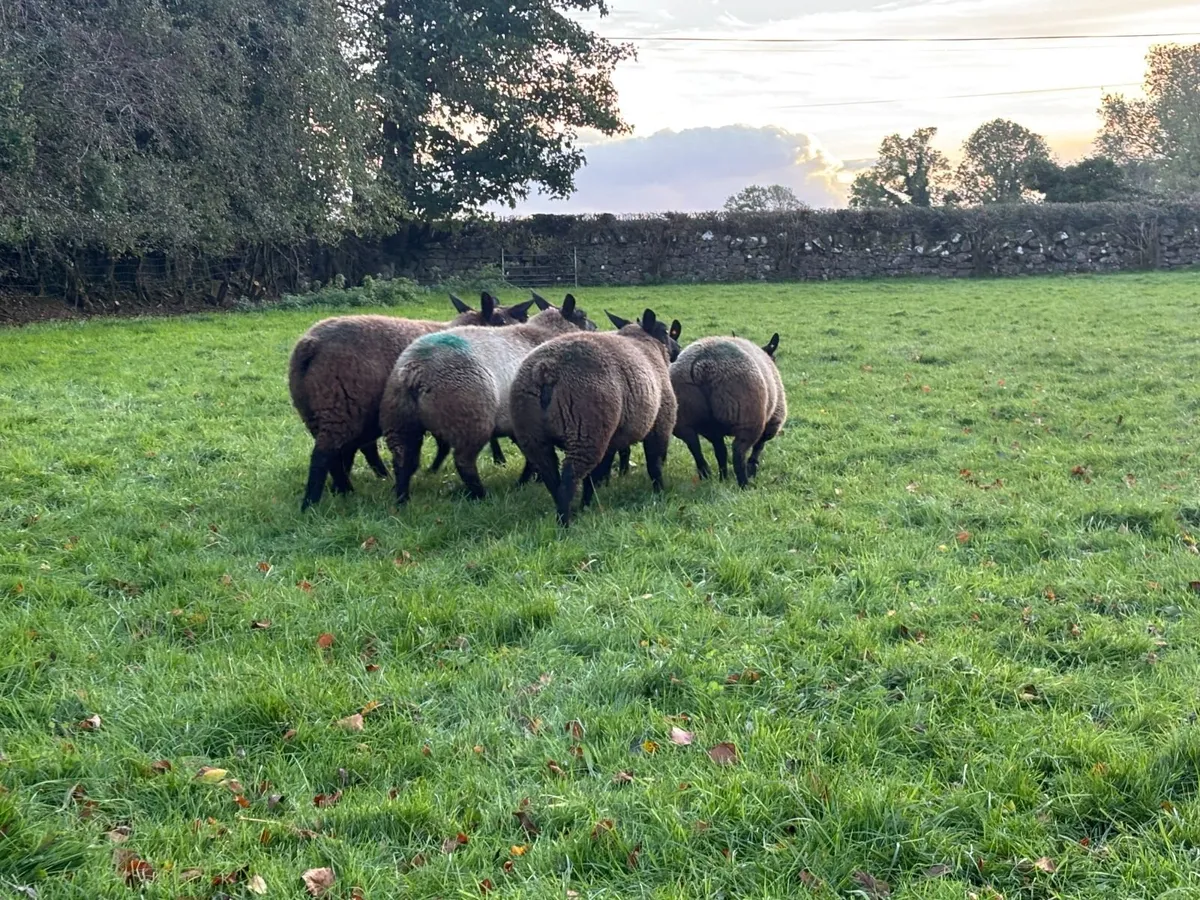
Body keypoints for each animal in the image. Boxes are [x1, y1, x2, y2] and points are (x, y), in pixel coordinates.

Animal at [289, 292, 532, 511]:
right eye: (501, 321)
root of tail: (310, 344)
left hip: (320, 413)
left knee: (342, 453)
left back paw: (347, 489)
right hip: (341, 406)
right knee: (324, 454)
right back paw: (313, 503)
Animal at [380, 293, 598, 503]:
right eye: (582, 315)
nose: (596, 327)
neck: (546, 332)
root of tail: (416, 369)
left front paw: (525, 482)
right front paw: (526, 481)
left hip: (399, 420)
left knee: (403, 460)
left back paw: (401, 499)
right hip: (471, 420)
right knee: (463, 462)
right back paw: (481, 496)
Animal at [510, 308, 682, 527]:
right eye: (665, 330)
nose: (678, 348)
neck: (646, 343)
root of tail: (546, 369)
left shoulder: (610, 437)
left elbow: (596, 475)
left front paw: (587, 504)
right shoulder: (660, 421)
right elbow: (654, 464)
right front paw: (660, 494)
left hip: (535, 437)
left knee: (552, 478)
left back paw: (569, 512)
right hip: (586, 431)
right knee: (568, 480)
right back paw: (565, 524)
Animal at [669, 333, 786, 488]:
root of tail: (702, 364)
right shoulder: (773, 421)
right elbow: (759, 446)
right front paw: (752, 469)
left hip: (685, 420)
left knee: (697, 446)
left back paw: (711, 475)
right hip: (748, 417)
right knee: (738, 451)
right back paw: (744, 484)